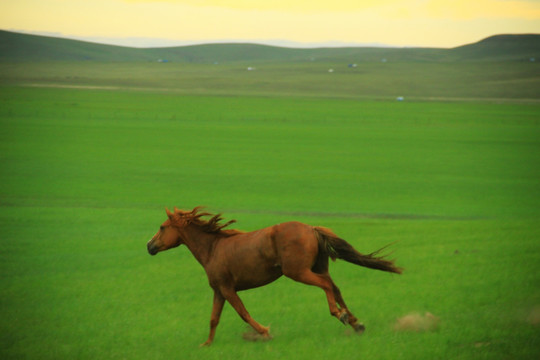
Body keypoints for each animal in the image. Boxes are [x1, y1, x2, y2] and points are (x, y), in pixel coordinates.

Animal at [147, 208, 400, 346]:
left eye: (162, 227)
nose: (149, 246)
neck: (213, 248)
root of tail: (311, 229)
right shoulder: (218, 291)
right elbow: (213, 319)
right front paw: (206, 344)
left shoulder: (228, 289)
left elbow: (243, 313)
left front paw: (265, 333)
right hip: (318, 268)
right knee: (335, 287)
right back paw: (356, 323)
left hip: (298, 272)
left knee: (326, 286)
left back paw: (341, 315)